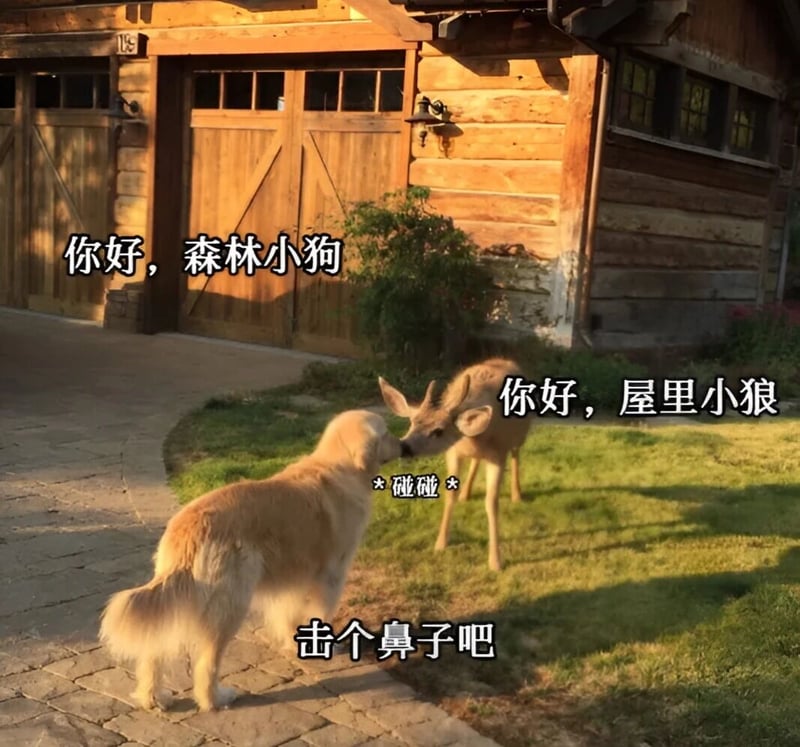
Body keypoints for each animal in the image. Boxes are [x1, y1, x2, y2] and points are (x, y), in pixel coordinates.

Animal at [378, 357, 532, 571]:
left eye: (438, 431)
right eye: (412, 422)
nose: (405, 446)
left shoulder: (498, 453)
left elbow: (491, 502)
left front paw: (495, 561)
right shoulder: (453, 452)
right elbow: (450, 495)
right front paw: (440, 543)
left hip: (518, 437)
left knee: (516, 455)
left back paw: (517, 495)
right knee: (477, 460)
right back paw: (466, 494)